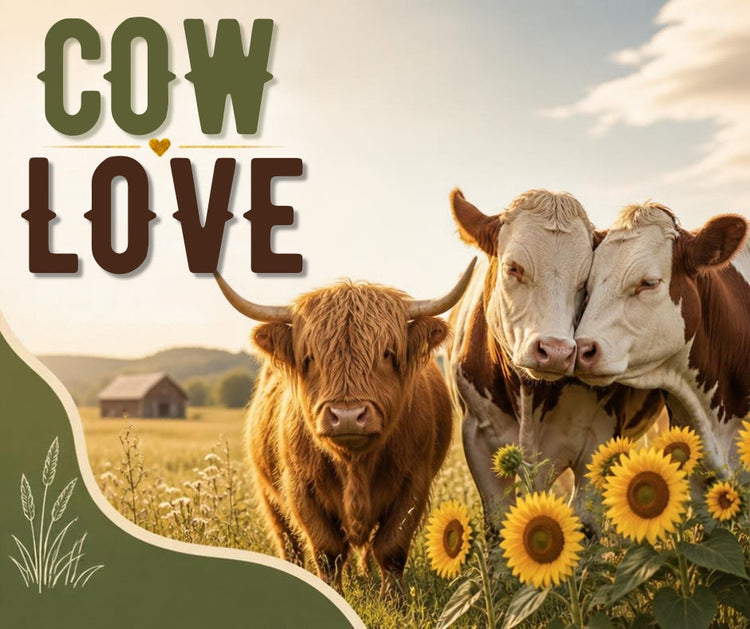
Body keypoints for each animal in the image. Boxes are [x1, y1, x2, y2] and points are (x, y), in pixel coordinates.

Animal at [213, 261, 475, 595]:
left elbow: (391, 547)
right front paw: (333, 594)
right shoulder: (300, 488)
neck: (355, 465)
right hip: (268, 493)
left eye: (387, 353)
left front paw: (394, 599)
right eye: (310, 357)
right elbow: (327, 551)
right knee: (289, 543)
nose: (348, 415)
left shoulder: (414, 483)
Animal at [448, 188, 665, 533]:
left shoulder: (598, 443)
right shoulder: (477, 440)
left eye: (585, 283)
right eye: (513, 268)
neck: (529, 393)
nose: (556, 350)